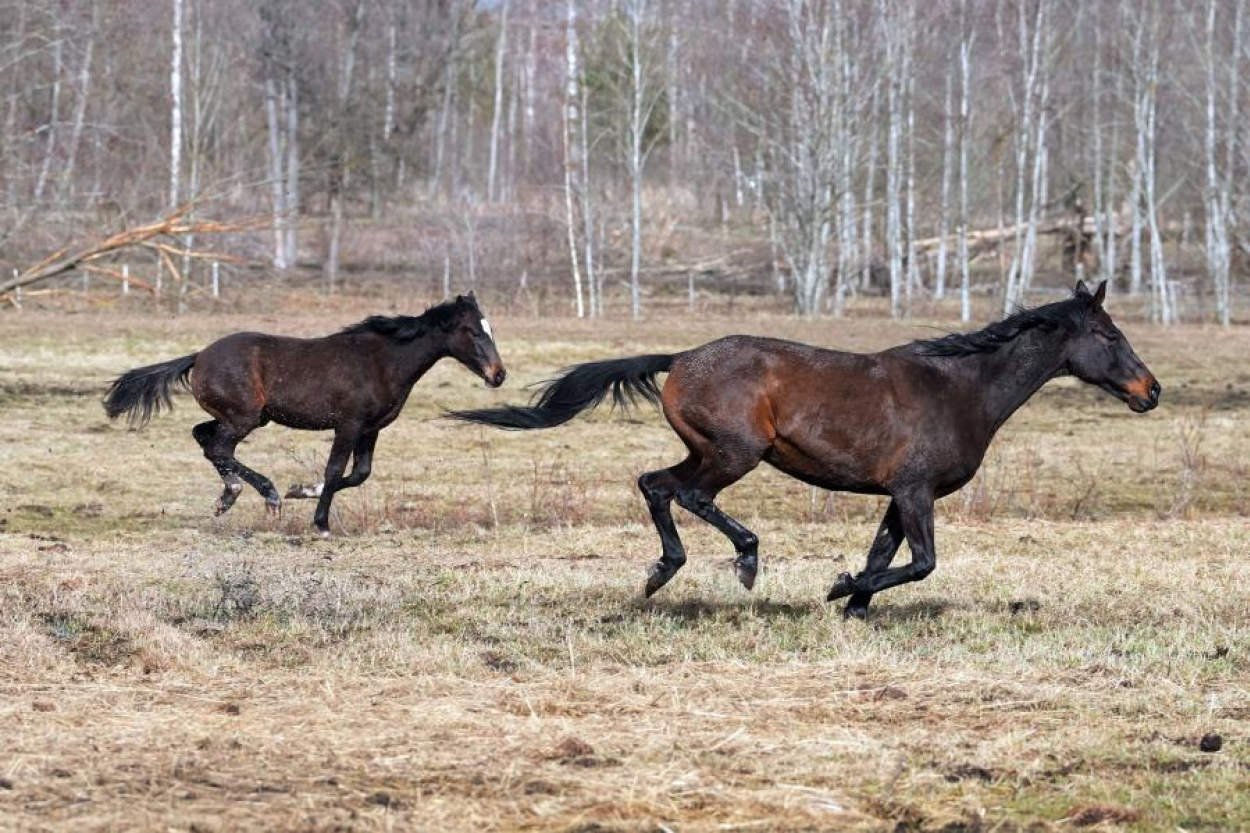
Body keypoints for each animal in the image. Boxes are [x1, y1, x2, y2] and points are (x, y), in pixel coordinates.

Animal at [102, 291, 502, 535]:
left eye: (489, 329)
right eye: (472, 331)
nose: (499, 375)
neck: (383, 361)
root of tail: (199, 356)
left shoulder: (370, 429)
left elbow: (359, 474)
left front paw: (302, 491)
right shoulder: (348, 424)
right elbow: (336, 470)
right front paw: (320, 522)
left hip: (244, 417)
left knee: (204, 437)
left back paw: (230, 497)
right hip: (244, 418)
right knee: (218, 447)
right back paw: (263, 496)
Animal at [457, 282, 1160, 612]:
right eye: (1110, 334)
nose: (1150, 391)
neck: (960, 387)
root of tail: (681, 358)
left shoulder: (898, 495)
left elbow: (885, 556)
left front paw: (854, 605)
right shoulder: (917, 492)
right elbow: (922, 563)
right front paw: (838, 587)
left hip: (706, 451)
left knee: (654, 484)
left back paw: (662, 573)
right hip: (733, 454)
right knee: (689, 496)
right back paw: (744, 560)